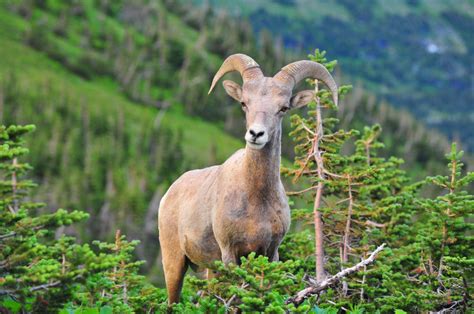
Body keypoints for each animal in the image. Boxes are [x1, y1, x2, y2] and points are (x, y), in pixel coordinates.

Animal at [159, 54, 336, 304]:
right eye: (244, 103)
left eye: (283, 108)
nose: (256, 134)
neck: (256, 199)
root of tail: (169, 193)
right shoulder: (230, 253)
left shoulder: (269, 253)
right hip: (174, 263)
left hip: (209, 270)